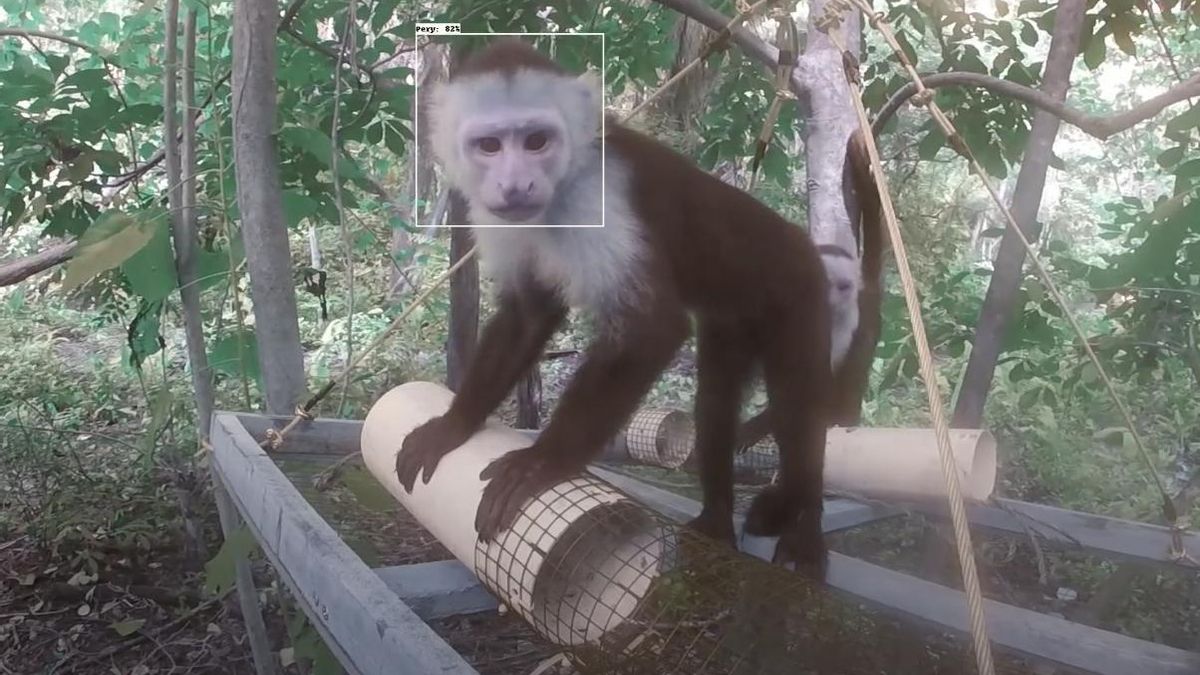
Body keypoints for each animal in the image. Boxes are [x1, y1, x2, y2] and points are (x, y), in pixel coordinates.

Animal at [394, 39, 832, 578]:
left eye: (537, 141)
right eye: (490, 146)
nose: (516, 186)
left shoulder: (596, 198)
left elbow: (651, 328)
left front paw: (543, 463)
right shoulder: (494, 214)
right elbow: (527, 314)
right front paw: (455, 424)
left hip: (800, 287)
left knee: (798, 408)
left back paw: (805, 530)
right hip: (732, 322)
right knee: (714, 404)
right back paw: (716, 521)